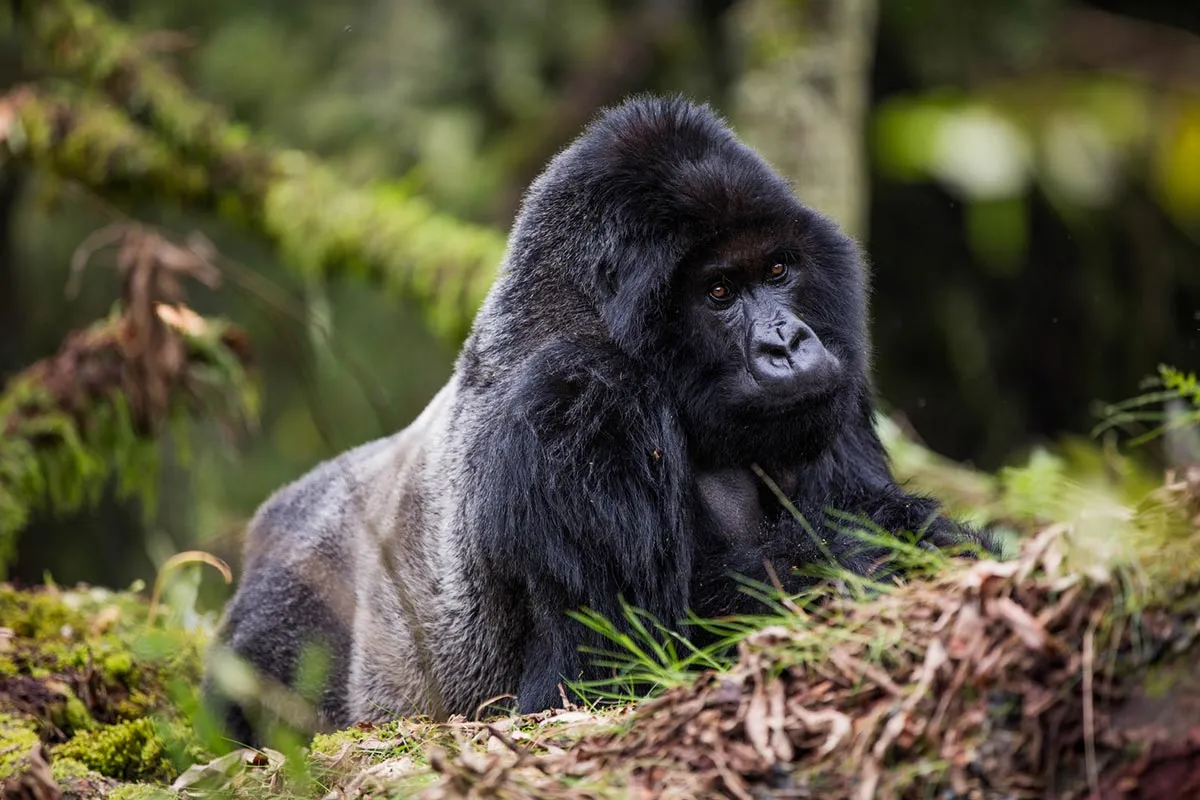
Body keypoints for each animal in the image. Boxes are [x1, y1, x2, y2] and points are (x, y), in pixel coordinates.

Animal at [203, 94, 995, 744]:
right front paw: (881, 556)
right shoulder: (579, 399)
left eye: (777, 270)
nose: (788, 344)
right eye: (718, 291)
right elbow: (624, 662)